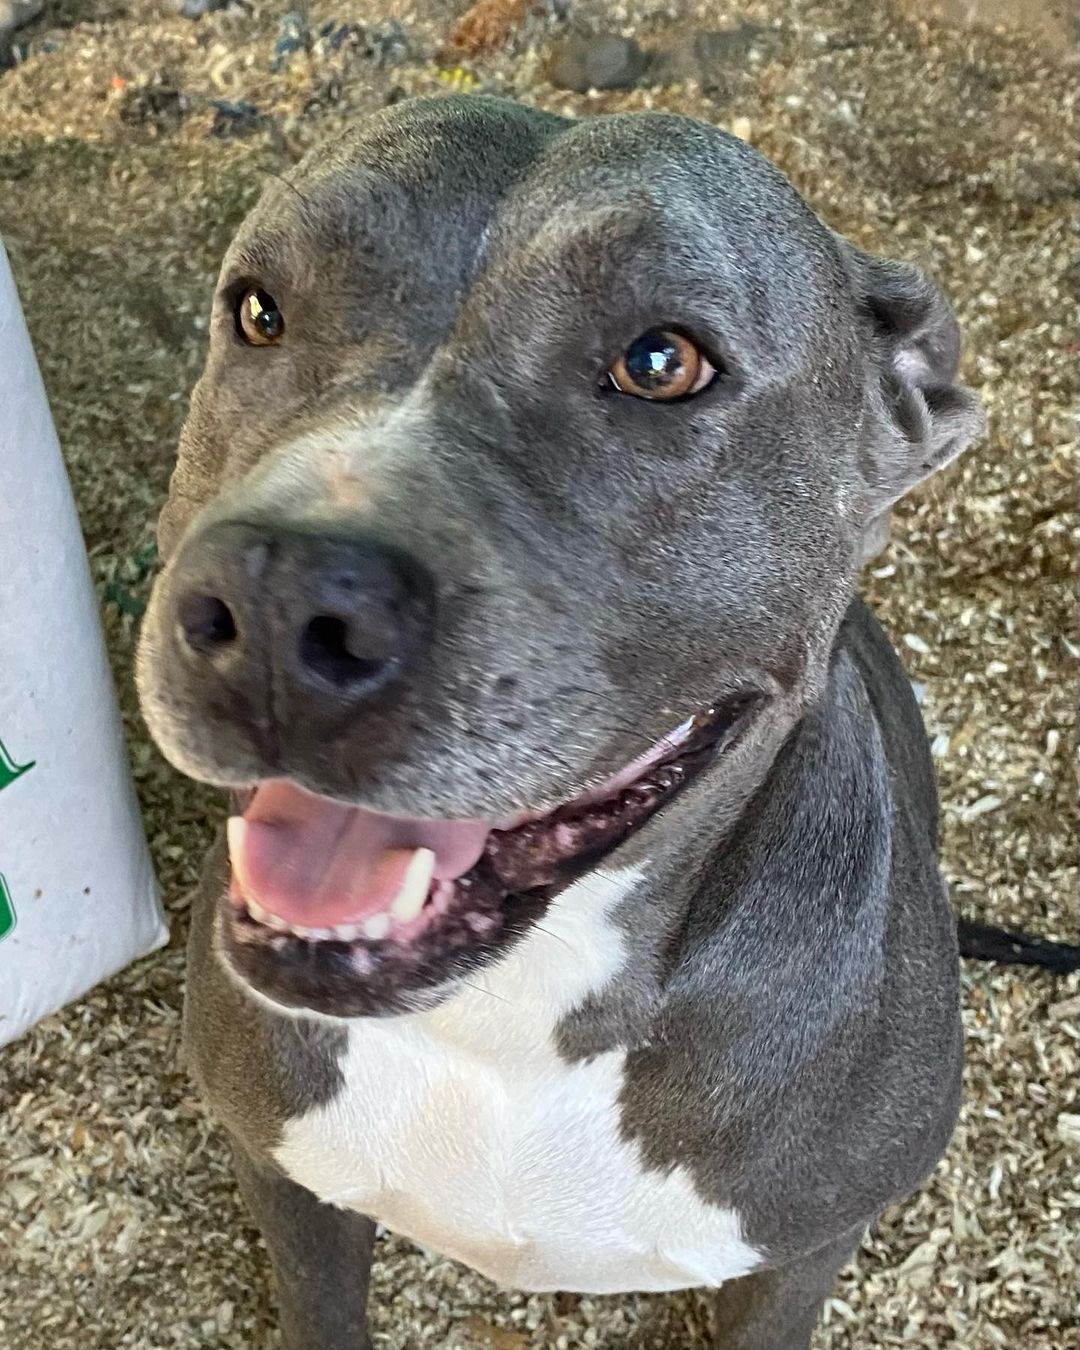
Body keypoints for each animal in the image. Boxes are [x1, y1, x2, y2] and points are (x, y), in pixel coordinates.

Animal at [141, 97, 993, 1350]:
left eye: (661, 362)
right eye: (258, 310)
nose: (278, 596)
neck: (514, 1012)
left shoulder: (802, 1255)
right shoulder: (286, 1177)